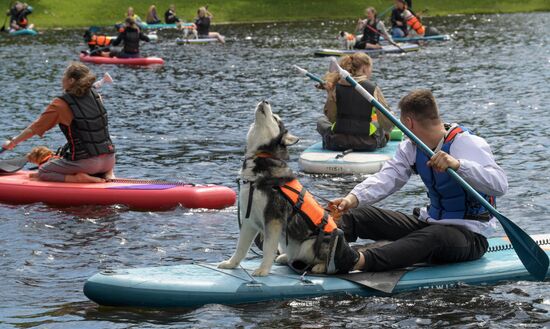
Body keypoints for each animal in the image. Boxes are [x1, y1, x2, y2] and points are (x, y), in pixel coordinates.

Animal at [218, 101, 342, 276]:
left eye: (276, 118)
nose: (265, 100)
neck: (261, 158)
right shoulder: (249, 218)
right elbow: (241, 248)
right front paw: (231, 264)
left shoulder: (273, 219)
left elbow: (268, 248)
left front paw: (263, 269)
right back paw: (284, 257)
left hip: (310, 243)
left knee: (327, 263)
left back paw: (319, 266)